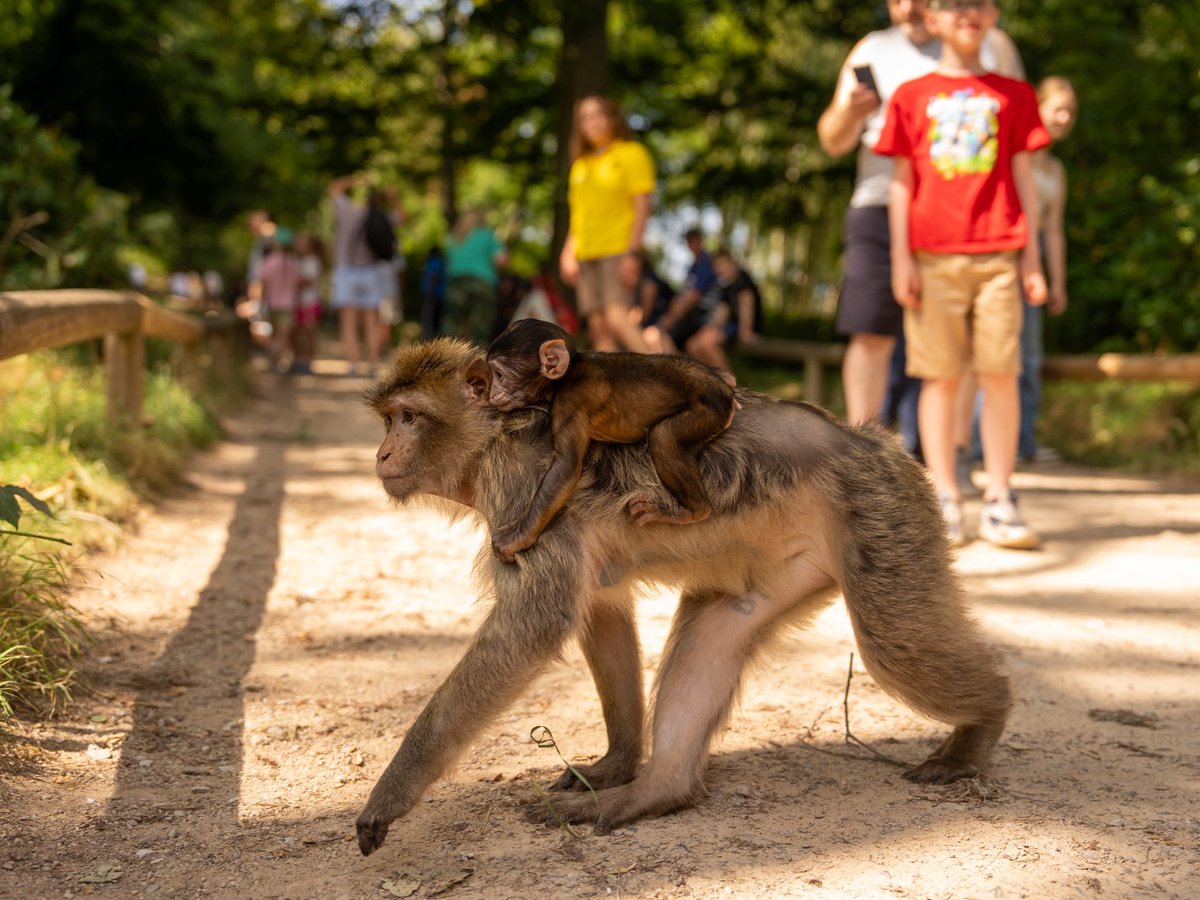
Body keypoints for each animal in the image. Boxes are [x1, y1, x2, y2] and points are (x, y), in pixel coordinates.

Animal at [466, 319, 739, 563]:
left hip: (709, 410)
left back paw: (693, 510)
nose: (494, 390)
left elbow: (565, 467)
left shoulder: (569, 404)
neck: (565, 376)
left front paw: (516, 538)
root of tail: (723, 391)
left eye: (500, 374)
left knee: (664, 437)